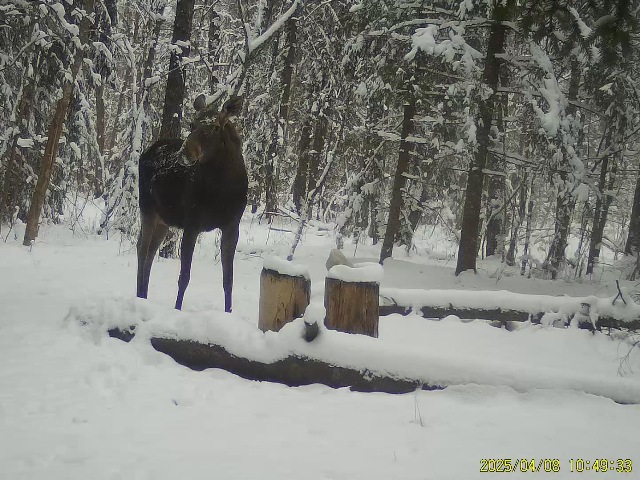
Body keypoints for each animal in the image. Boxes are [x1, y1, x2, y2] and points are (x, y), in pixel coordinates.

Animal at [136, 95, 248, 312]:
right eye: (192, 124)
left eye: (215, 127)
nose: (184, 154)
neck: (223, 191)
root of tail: (146, 151)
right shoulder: (192, 223)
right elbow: (184, 277)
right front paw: (177, 309)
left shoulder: (232, 225)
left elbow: (228, 280)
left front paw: (228, 312)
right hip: (147, 209)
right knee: (142, 249)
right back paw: (139, 295)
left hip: (164, 219)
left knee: (150, 250)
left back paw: (144, 295)